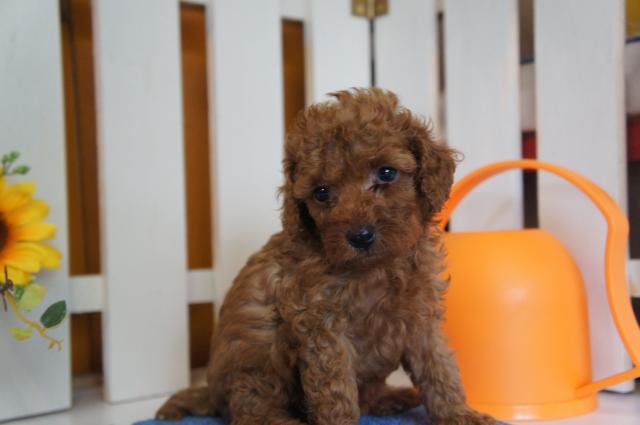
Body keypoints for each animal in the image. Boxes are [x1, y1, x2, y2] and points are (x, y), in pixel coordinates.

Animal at [156, 88, 495, 425]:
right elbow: (335, 390)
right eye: (321, 192)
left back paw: (393, 398)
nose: (360, 236)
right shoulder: (322, 324)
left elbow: (439, 368)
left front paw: (460, 414)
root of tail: (211, 394)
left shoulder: (420, 315)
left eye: (387, 173)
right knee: (251, 407)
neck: (377, 268)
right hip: (258, 357)